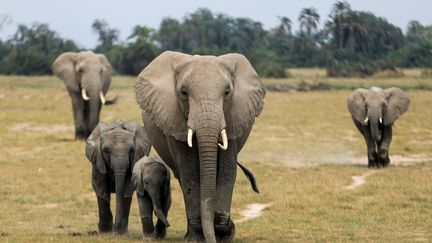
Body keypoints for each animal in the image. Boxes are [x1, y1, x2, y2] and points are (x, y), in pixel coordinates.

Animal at [135, 50, 264, 242]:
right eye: (184, 93)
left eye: (227, 92)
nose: (229, 228)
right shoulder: (174, 119)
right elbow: (190, 173)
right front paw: (197, 237)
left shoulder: (233, 116)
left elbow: (227, 171)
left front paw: (223, 233)